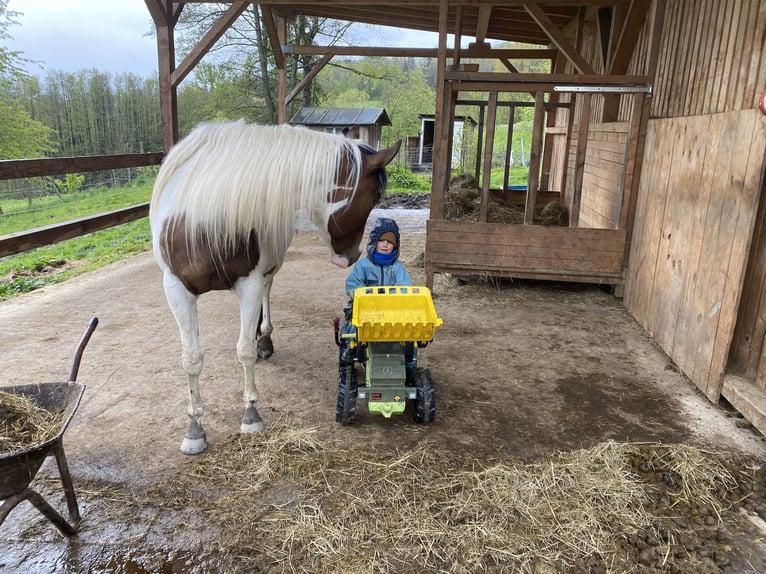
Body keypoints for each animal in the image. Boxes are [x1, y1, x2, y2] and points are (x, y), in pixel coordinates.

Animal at [150, 121, 402, 454]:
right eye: (373, 198)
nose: (350, 256)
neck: (202, 218)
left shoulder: (250, 283)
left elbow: (244, 350)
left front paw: (250, 414)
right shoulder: (176, 290)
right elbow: (191, 359)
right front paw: (194, 429)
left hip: (268, 270)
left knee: (267, 292)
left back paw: (264, 339)